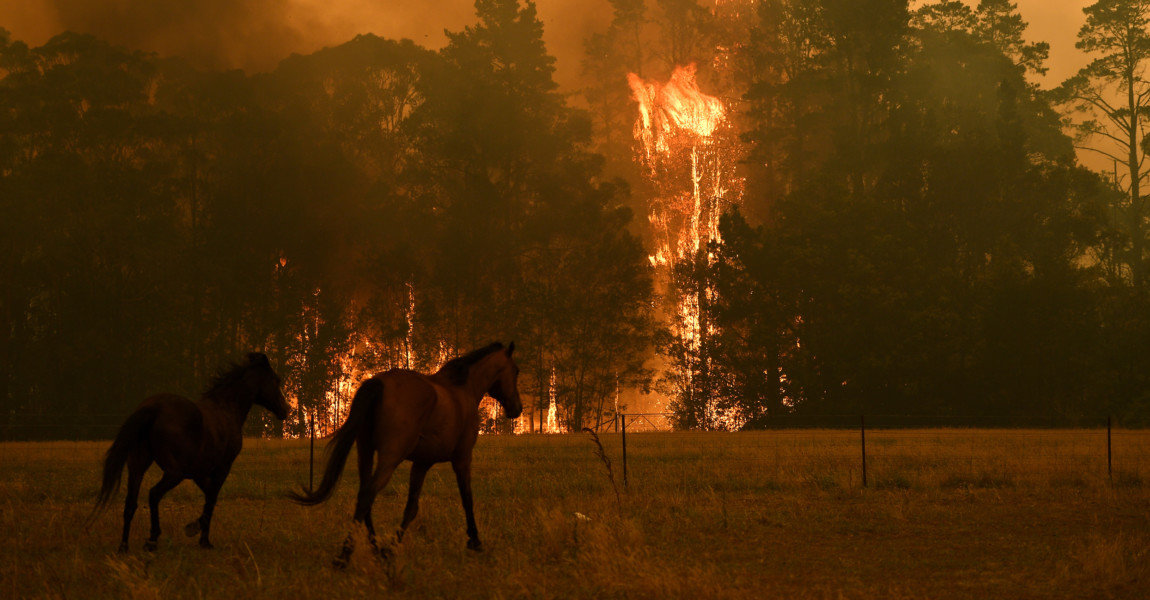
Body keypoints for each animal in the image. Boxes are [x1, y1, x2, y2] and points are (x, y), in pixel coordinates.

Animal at [92, 349, 289, 551]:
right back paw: (152, 539)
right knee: (154, 495)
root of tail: (154, 408)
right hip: (174, 473)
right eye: (276, 379)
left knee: (131, 503)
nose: (286, 409)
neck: (226, 410)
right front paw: (198, 535)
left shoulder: (199, 473)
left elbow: (209, 497)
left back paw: (124, 546)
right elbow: (212, 499)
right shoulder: (222, 468)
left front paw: (202, 538)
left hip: (137, 466)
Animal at [289, 340, 524, 560]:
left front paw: (392, 547)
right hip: (389, 458)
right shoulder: (462, 459)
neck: (462, 389)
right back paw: (344, 556)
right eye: (516, 371)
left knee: (365, 497)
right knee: (367, 495)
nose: (517, 408)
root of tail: (379, 383)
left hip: (365, 453)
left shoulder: (421, 464)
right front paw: (475, 541)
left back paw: (376, 548)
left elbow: (411, 508)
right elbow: (467, 499)